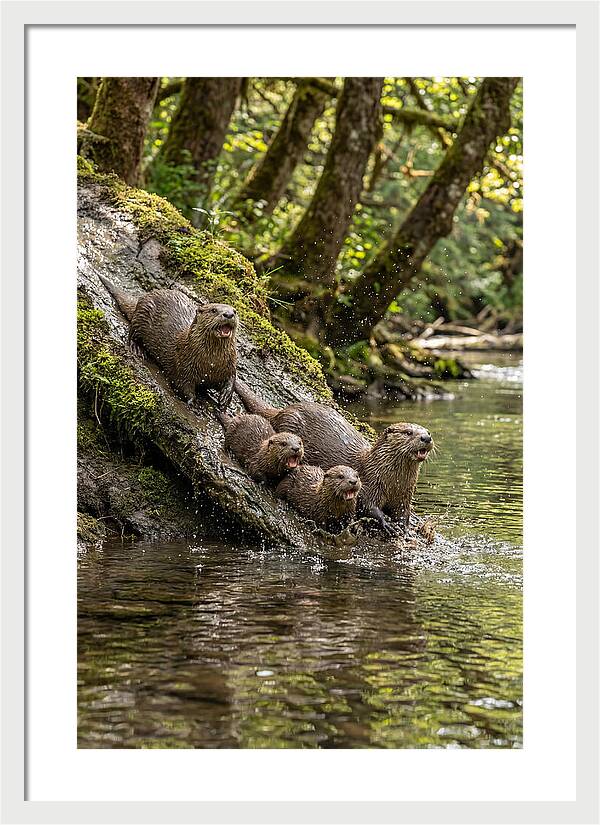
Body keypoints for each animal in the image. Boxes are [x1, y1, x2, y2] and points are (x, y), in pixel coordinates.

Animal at [99, 275, 238, 409]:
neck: (211, 364)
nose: (229, 314)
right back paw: (136, 348)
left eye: (235, 311)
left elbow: (232, 378)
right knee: (132, 331)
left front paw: (225, 396)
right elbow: (183, 385)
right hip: (142, 315)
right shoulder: (183, 365)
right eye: (213, 310)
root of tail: (145, 296)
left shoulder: (229, 364)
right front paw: (194, 402)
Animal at [235, 380, 433, 535]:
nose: (426, 437)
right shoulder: (370, 484)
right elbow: (368, 506)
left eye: (428, 431)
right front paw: (387, 522)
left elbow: (403, 513)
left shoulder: (404, 495)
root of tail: (282, 411)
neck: (393, 481)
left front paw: (404, 527)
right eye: (408, 432)